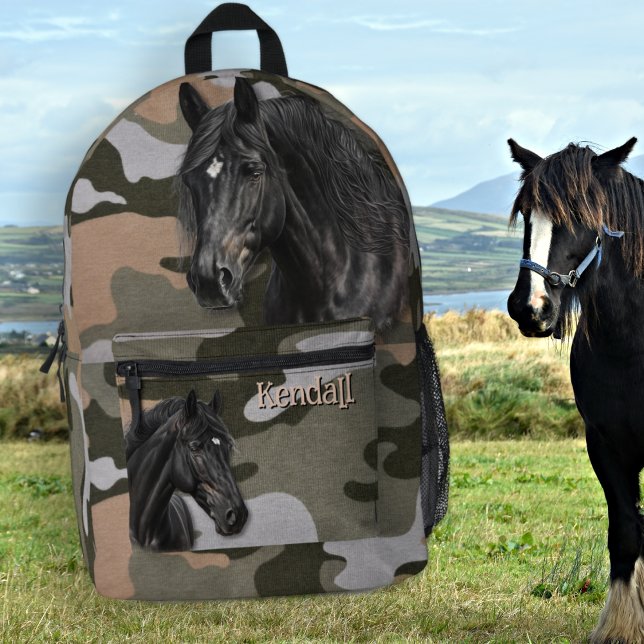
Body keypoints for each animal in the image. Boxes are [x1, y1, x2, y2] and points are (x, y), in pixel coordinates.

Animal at [506, 136, 644, 643]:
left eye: (581, 217)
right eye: (526, 214)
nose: (529, 307)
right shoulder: (604, 445)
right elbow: (625, 530)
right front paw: (622, 624)